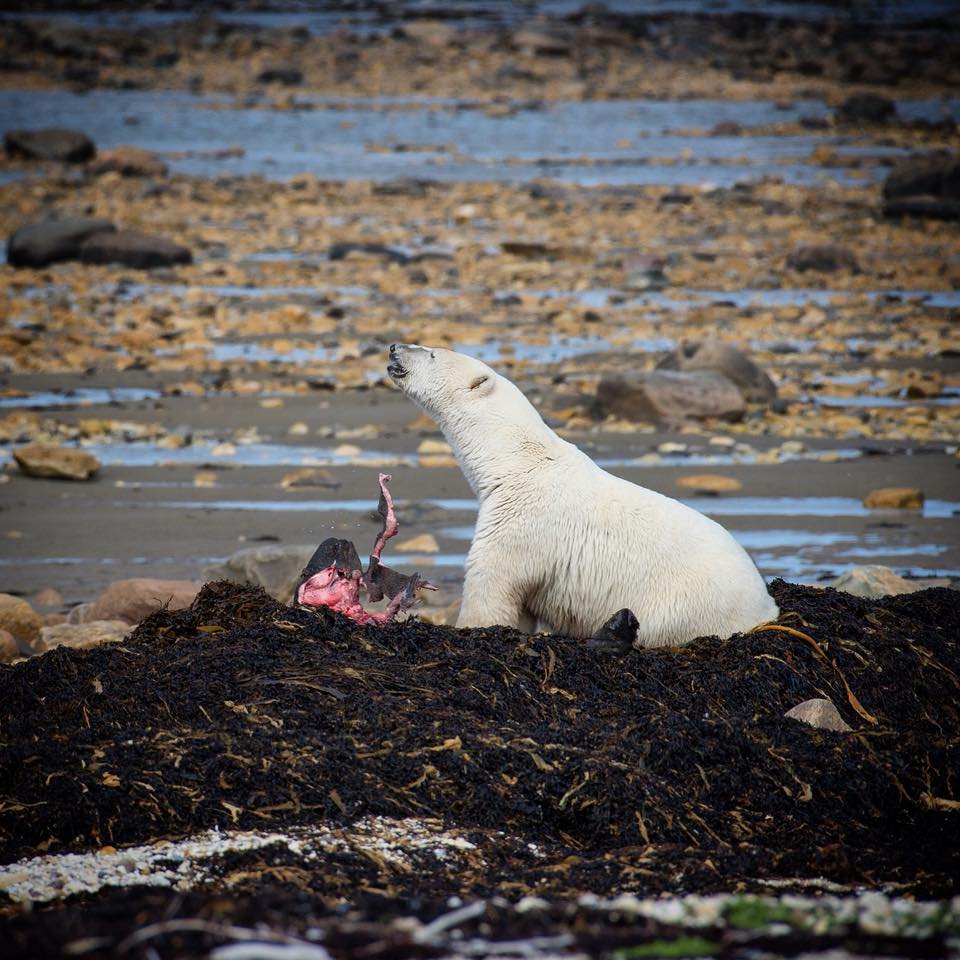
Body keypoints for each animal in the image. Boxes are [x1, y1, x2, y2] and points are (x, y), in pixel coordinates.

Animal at [387, 343, 779, 647]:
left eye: (433, 353)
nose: (393, 348)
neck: (518, 461)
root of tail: (765, 606)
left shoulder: (521, 523)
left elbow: (491, 587)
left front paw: (468, 628)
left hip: (683, 605)